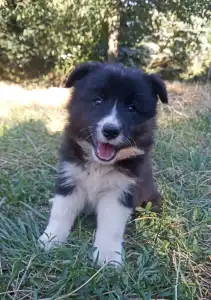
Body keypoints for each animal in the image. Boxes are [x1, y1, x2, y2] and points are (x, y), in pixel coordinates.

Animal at [38, 62, 168, 266]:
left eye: (132, 108)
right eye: (97, 101)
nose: (110, 131)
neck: (99, 164)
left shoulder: (120, 191)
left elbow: (111, 226)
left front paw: (108, 256)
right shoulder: (70, 177)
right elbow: (61, 212)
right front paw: (51, 239)